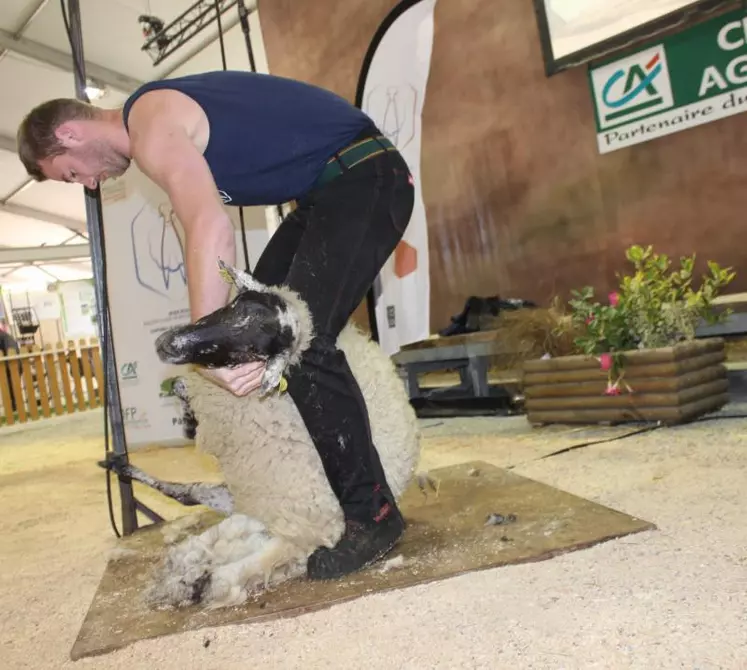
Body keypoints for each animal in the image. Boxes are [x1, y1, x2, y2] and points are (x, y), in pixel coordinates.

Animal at [122, 266, 424, 612]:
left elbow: (235, 571)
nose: (166, 342)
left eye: (252, 349)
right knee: (190, 492)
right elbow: (212, 530)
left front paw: (205, 582)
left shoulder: (306, 523)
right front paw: (184, 570)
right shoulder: (262, 502)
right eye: (230, 305)